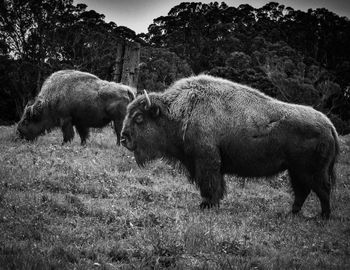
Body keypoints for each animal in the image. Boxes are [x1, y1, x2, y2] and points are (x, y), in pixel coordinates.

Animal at [121, 75, 340, 218]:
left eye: (139, 117)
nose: (123, 138)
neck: (179, 111)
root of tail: (330, 126)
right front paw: (211, 204)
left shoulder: (206, 161)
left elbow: (210, 184)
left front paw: (206, 205)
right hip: (296, 171)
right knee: (303, 191)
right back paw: (292, 213)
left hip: (310, 171)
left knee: (322, 189)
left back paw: (323, 216)